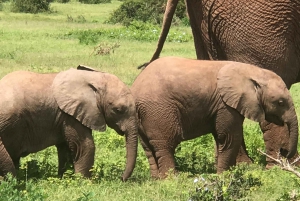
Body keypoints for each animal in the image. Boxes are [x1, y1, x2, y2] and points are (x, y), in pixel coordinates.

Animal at [0, 65, 138, 181]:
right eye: (118, 110)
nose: (121, 178)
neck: (93, 79)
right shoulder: (70, 115)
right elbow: (85, 145)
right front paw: (84, 182)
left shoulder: (65, 116)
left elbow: (65, 147)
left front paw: (64, 178)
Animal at [132, 55, 298, 178]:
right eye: (280, 102)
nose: (284, 152)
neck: (253, 71)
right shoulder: (225, 104)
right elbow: (230, 137)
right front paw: (224, 176)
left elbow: (221, 138)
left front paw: (227, 173)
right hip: (158, 111)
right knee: (165, 145)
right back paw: (172, 180)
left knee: (149, 148)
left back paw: (156, 180)